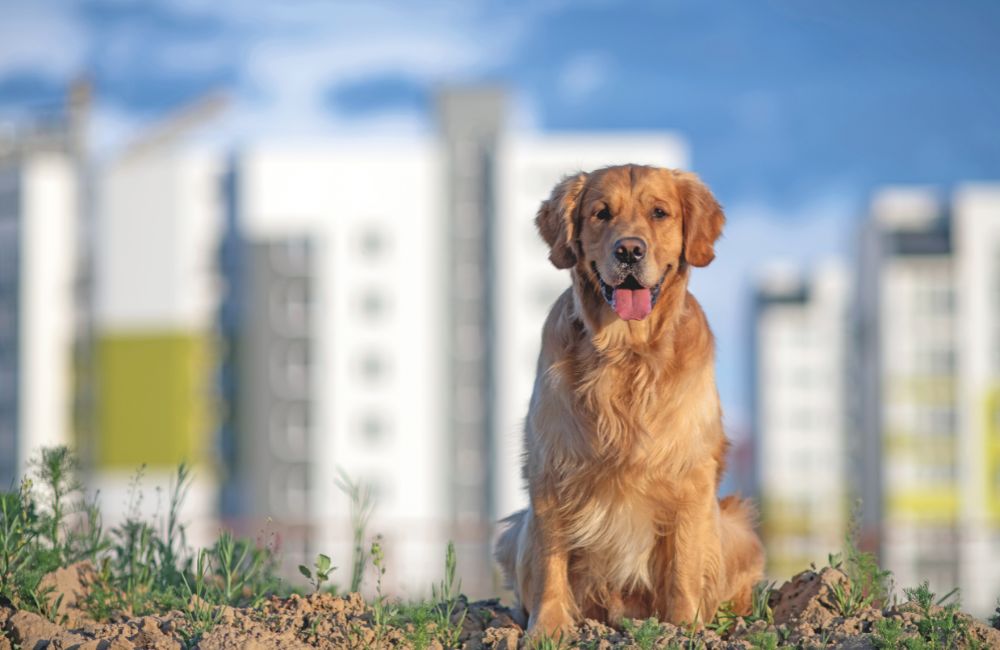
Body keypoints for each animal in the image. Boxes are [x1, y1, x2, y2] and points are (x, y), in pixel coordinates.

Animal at [494, 165, 764, 636]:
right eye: (601, 213)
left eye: (660, 213)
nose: (630, 251)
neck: (626, 352)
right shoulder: (551, 469)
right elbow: (550, 560)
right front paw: (547, 629)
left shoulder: (690, 475)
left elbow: (684, 563)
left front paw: (684, 628)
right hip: (514, 531)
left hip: (736, 527)